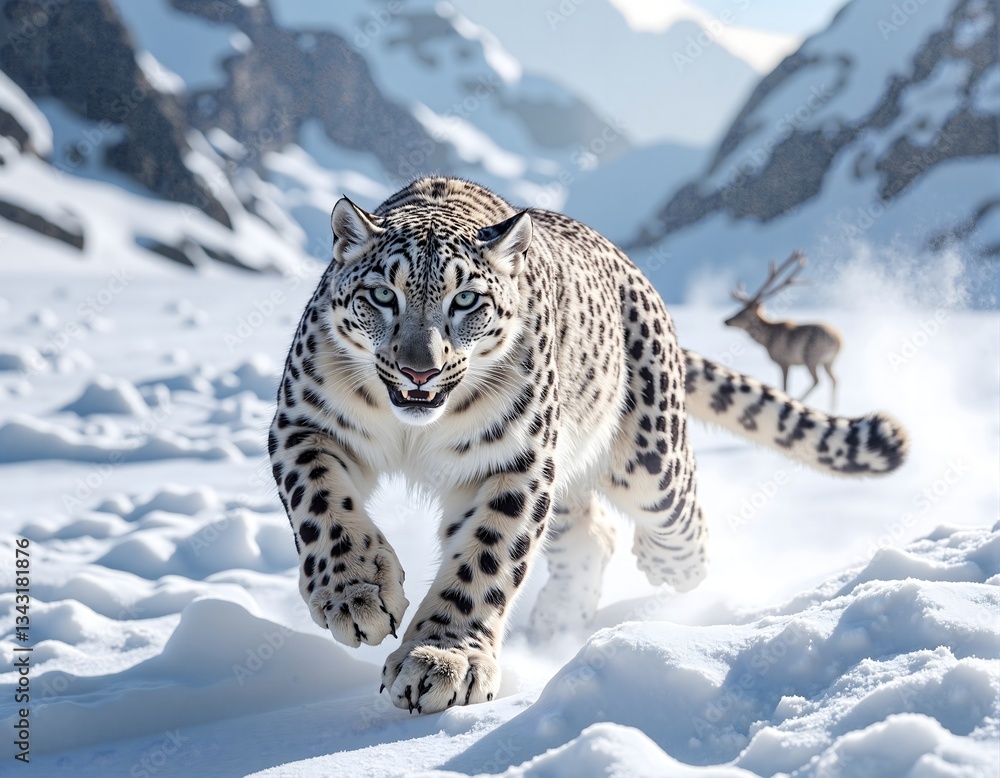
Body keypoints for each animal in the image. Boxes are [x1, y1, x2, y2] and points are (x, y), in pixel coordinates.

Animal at [268, 176, 908, 714]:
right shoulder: (304, 423)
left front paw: (443, 660)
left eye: (466, 301)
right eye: (382, 295)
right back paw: (557, 618)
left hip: (647, 460)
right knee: (590, 533)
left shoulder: (515, 459)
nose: (418, 370)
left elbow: (486, 556)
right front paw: (355, 595)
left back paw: (667, 568)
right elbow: (321, 505)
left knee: (678, 519)